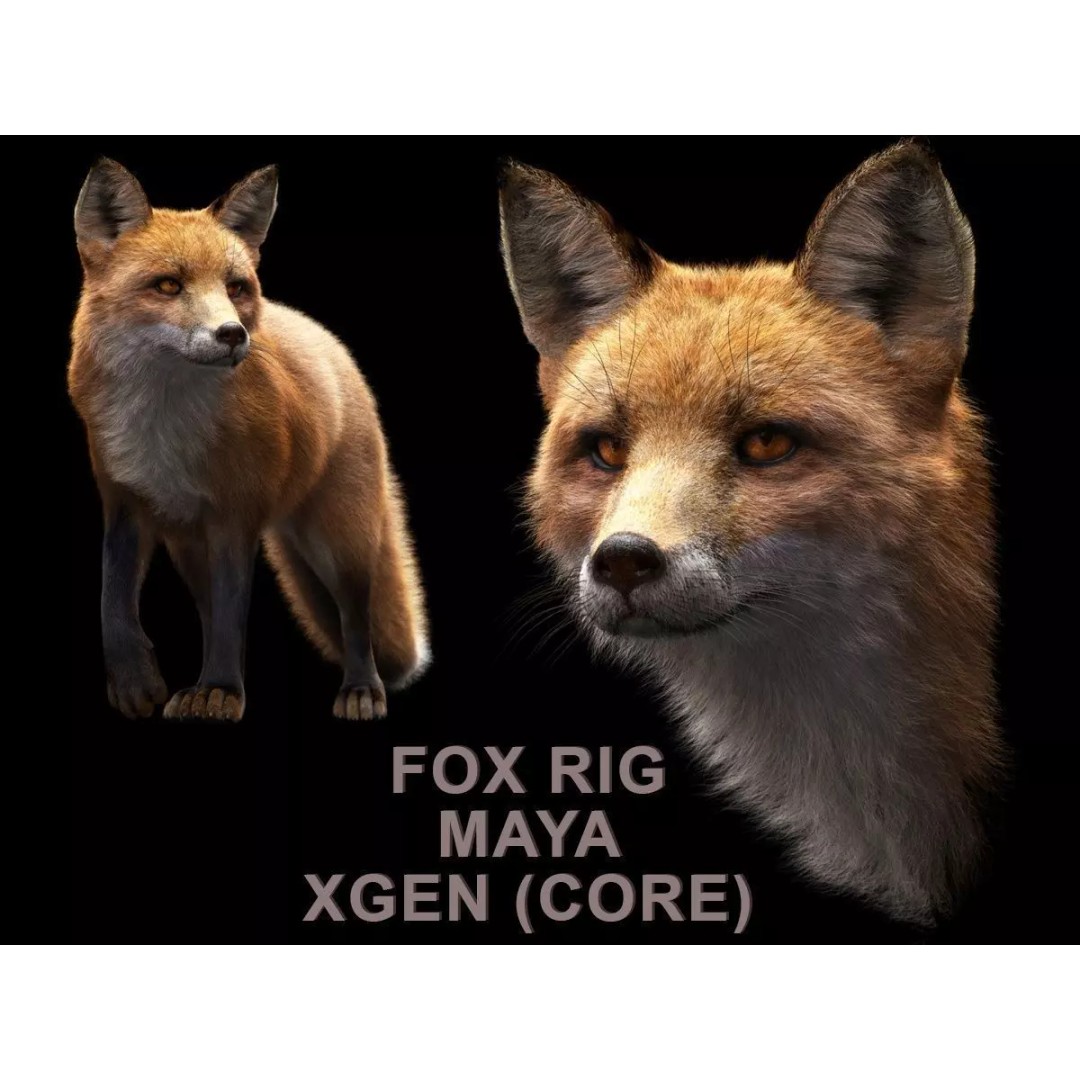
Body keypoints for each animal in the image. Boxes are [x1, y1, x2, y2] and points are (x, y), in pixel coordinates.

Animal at [68, 160, 429, 722]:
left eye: (235, 287)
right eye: (168, 285)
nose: (233, 333)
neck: (163, 434)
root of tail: (322, 335)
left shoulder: (235, 519)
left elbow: (231, 620)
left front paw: (220, 691)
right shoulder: (124, 502)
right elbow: (113, 599)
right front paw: (135, 681)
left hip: (340, 538)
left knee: (355, 615)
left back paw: (361, 689)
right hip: (190, 546)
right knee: (209, 608)